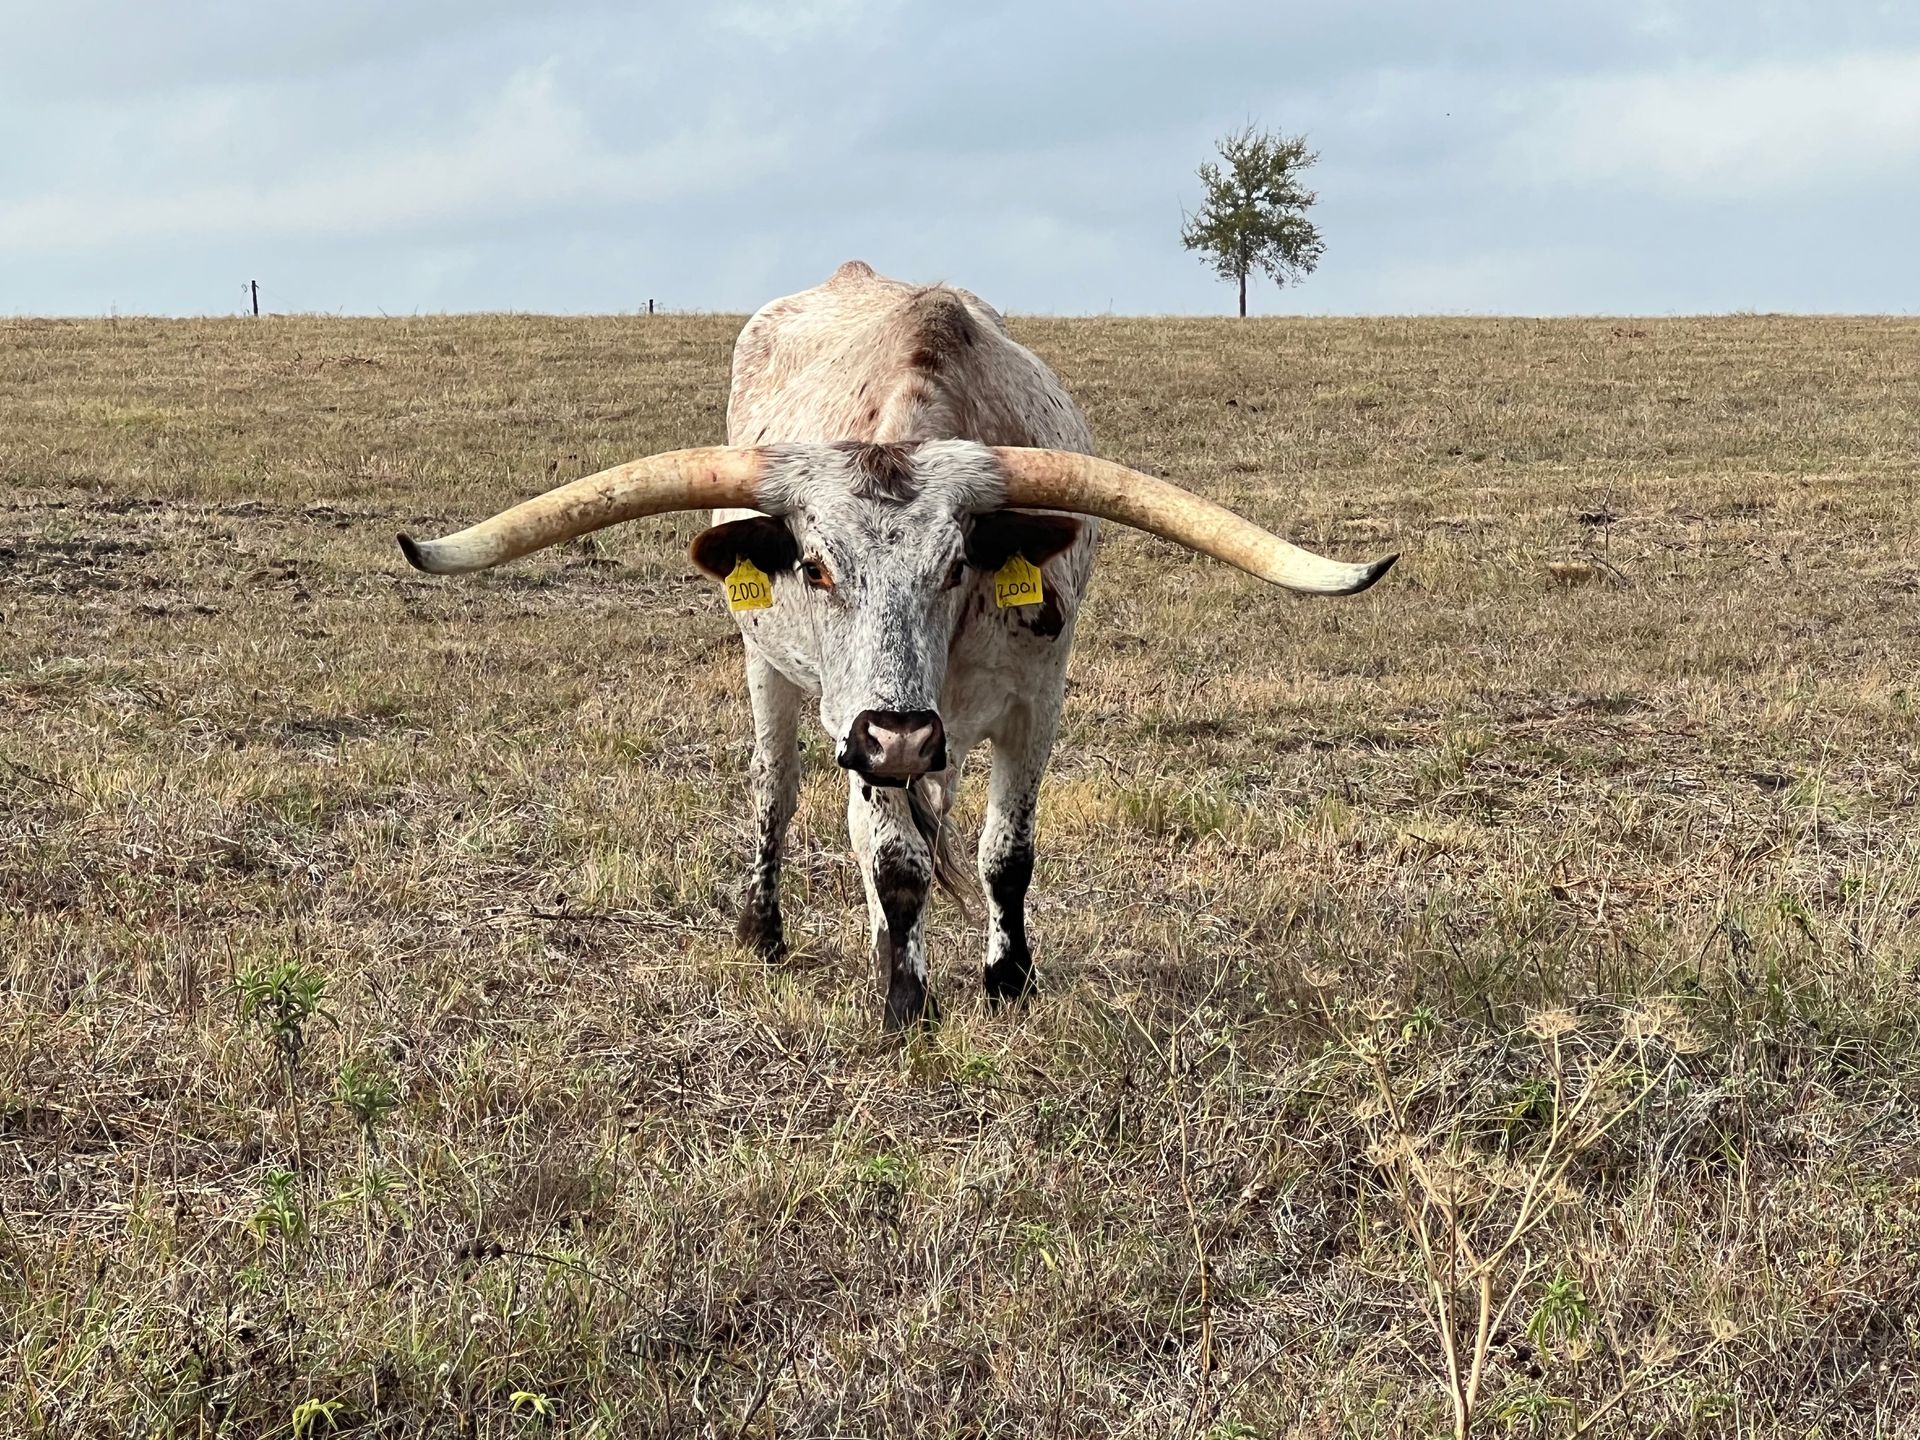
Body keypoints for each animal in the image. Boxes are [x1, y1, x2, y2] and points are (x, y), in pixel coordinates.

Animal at [398, 261, 1395, 1030]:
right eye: (814, 565)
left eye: (956, 564)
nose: (900, 735)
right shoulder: (857, 723)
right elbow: (892, 860)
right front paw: (906, 1003)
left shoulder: (1036, 702)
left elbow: (1006, 855)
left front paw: (1007, 980)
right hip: (776, 676)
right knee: (780, 792)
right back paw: (768, 928)